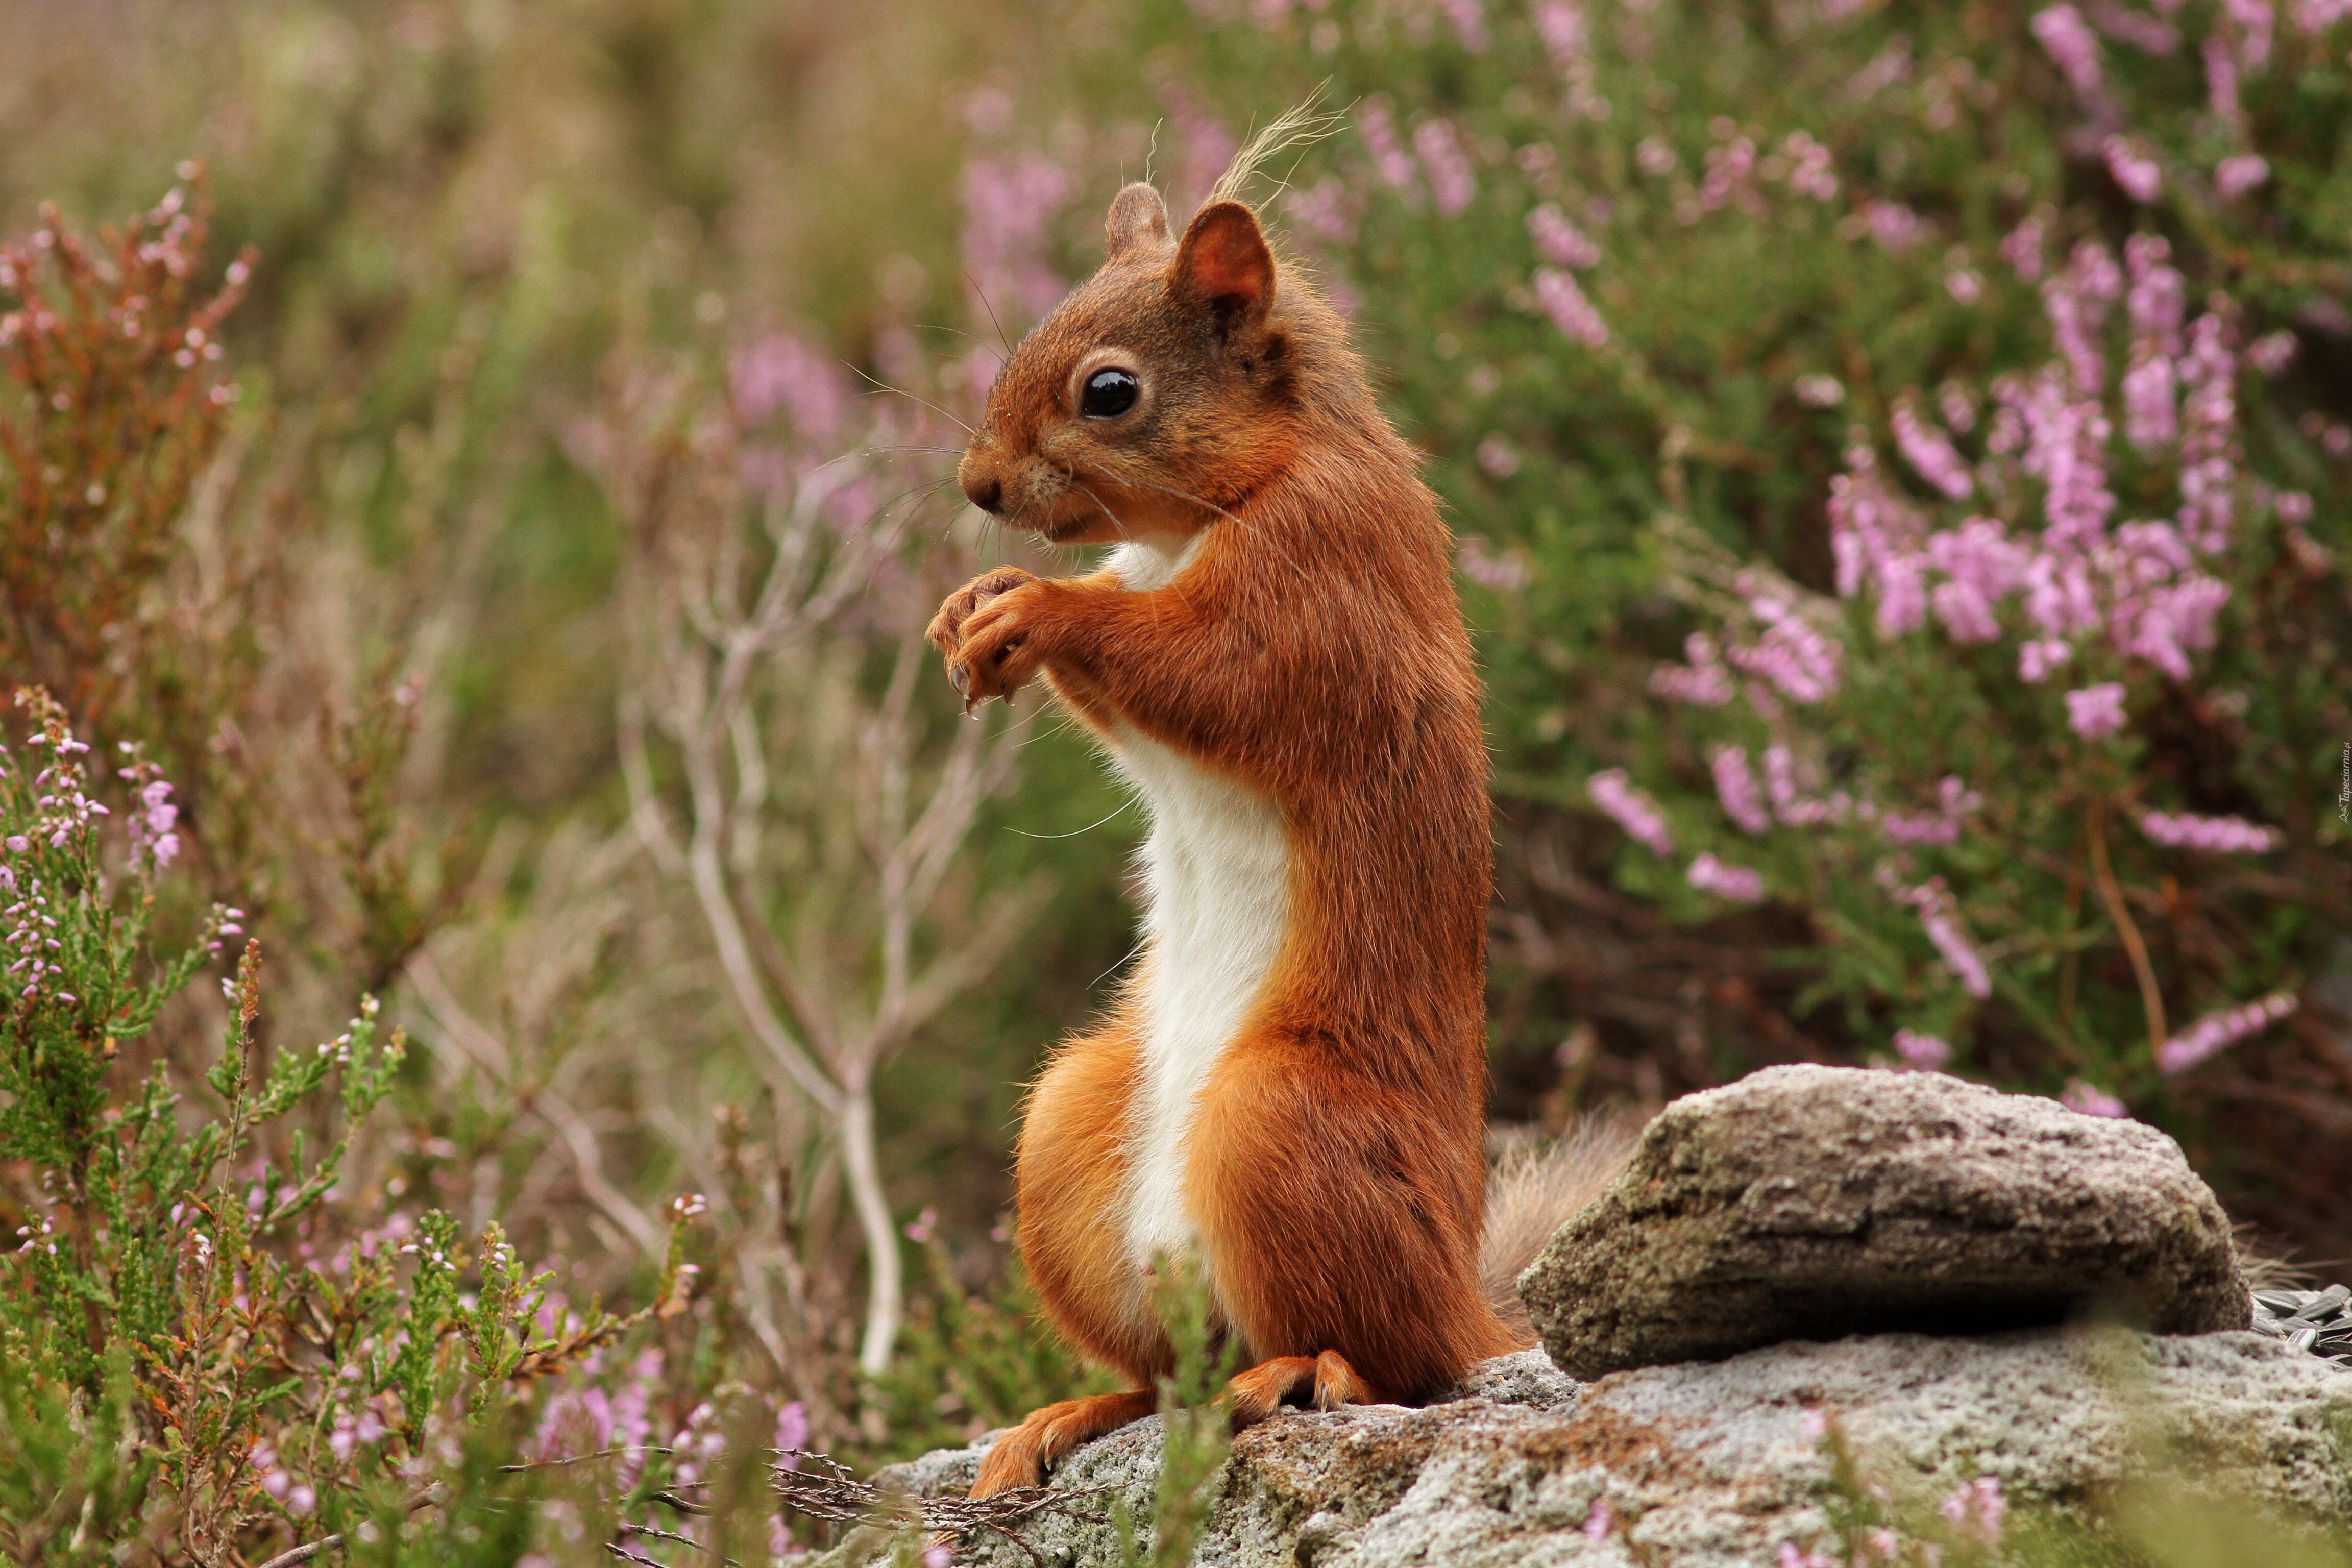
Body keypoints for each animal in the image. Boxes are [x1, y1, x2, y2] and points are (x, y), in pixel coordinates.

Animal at [926, 177, 1552, 1504]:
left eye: (1110, 390)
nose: (977, 484)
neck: (1198, 523)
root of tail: (1470, 1303)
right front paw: (971, 611)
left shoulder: (1322, 590)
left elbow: (1211, 670)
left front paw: (1039, 607)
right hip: (1066, 1130)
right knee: (1171, 1369)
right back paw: (1074, 1410)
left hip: (1279, 1118)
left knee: (1396, 1358)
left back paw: (1304, 1372)